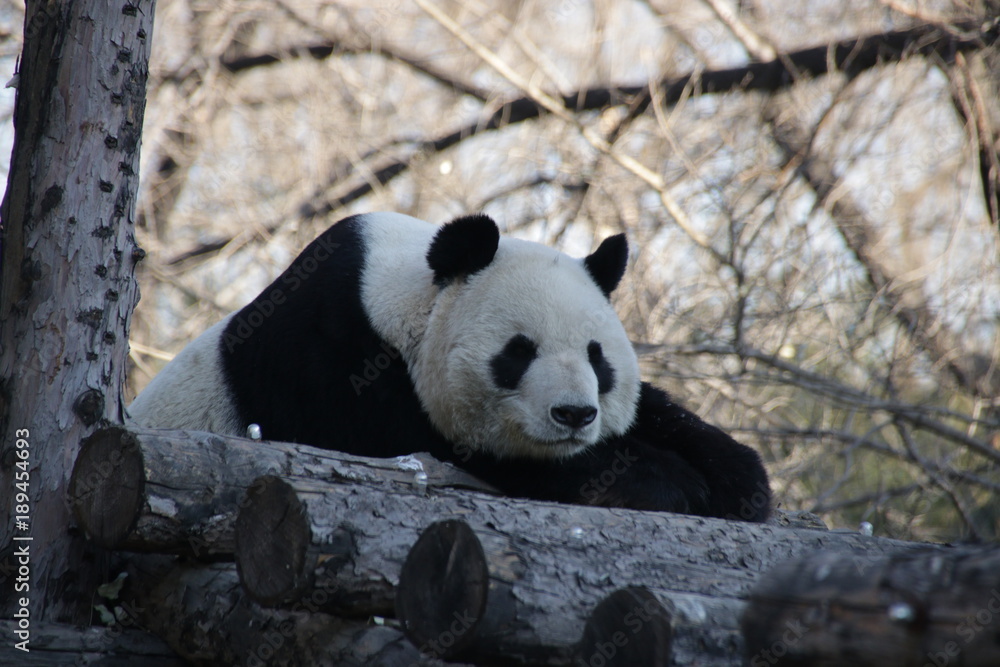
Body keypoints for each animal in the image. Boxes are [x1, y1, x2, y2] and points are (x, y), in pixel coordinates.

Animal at [129, 212, 770, 521]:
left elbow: (661, 413)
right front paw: (671, 481)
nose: (574, 415)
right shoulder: (332, 368)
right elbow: (472, 448)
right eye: (518, 352)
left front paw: (738, 478)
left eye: (598, 357)